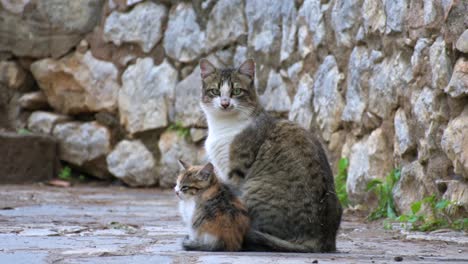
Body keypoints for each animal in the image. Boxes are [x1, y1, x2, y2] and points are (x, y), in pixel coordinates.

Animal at [199, 58, 342, 253]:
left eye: (236, 91)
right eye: (215, 91)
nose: (225, 103)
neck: (222, 125)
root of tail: (321, 239)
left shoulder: (235, 171)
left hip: (254, 189)